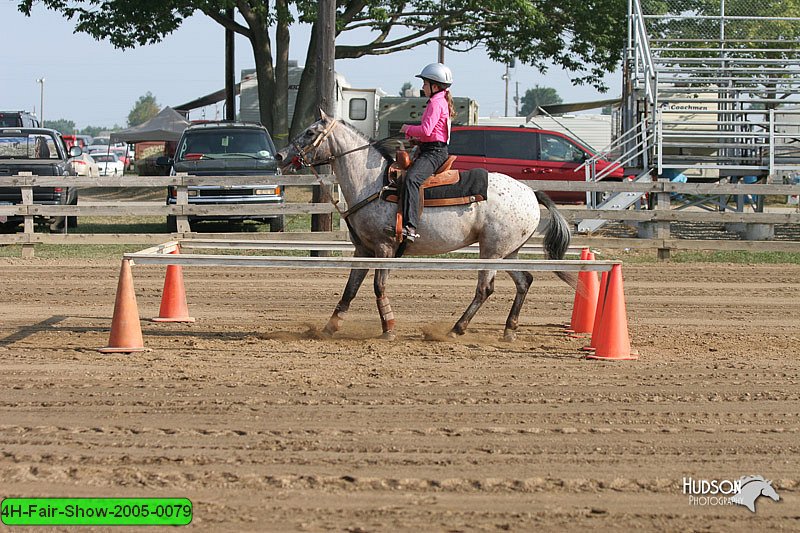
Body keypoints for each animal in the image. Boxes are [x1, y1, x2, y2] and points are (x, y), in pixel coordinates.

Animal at [276, 110, 576, 340]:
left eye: (310, 132)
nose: (279, 156)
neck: (372, 183)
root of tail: (530, 192)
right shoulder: (364, 250)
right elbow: (351, 289)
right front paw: (329, 328)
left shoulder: (385, 249)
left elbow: (378, 286)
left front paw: (388, 329)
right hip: (507, 252)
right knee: (524, 281)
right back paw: (509, 330)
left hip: (491, 251)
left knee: (485, 289)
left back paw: (457, 329)